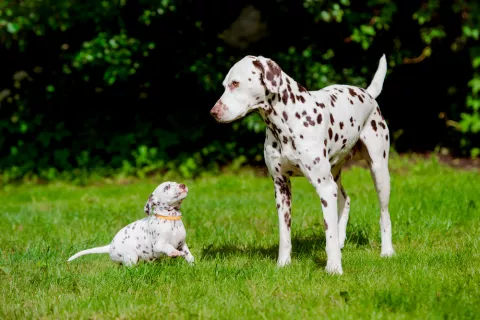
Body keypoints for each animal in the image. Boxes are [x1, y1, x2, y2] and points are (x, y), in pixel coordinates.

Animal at [67, 181, 195, 266]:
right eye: (167, 187)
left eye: (177, 182)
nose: (183, 185)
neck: (171, 219)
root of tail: (110, 246)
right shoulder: (158, 245)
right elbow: (167, 246)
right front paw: (173, 252)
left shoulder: (182, 244)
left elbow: (188, 255)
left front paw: (193, 265)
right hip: (131, 256)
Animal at [210, 53, 394, 274]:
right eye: (224, 85)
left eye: (235, 83)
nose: (213, 112)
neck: (288, 121)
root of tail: (368, 94)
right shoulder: (281, 187)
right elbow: (285, 234)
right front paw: (283, 263)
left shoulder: (324, 188)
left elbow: (329, 234)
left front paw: (333, 267)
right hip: (335, 175)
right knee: (346, 199)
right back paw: (342, 239)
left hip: (378, 172)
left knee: (384, 214)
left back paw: (387, 251)